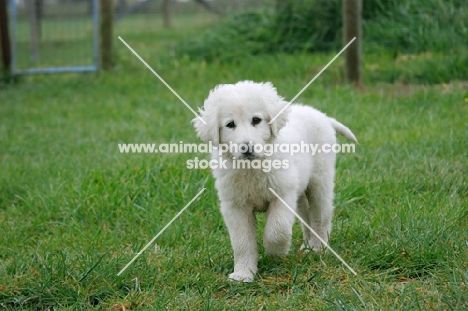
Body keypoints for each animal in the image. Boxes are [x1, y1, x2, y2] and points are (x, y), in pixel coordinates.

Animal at [192, 80, 356, 282]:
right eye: (230, 124)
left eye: (256, 120)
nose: (247, 148)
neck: (253, 167)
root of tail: (321, 115)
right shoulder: (235, 205)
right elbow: (241, 242)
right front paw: (243, 274)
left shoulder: (283, 194)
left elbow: (277, 229)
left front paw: (276, 251)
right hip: (301, 193)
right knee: (306, 215)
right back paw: (307, 246)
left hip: (320, 181)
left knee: (321, 216)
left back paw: (317, 248)